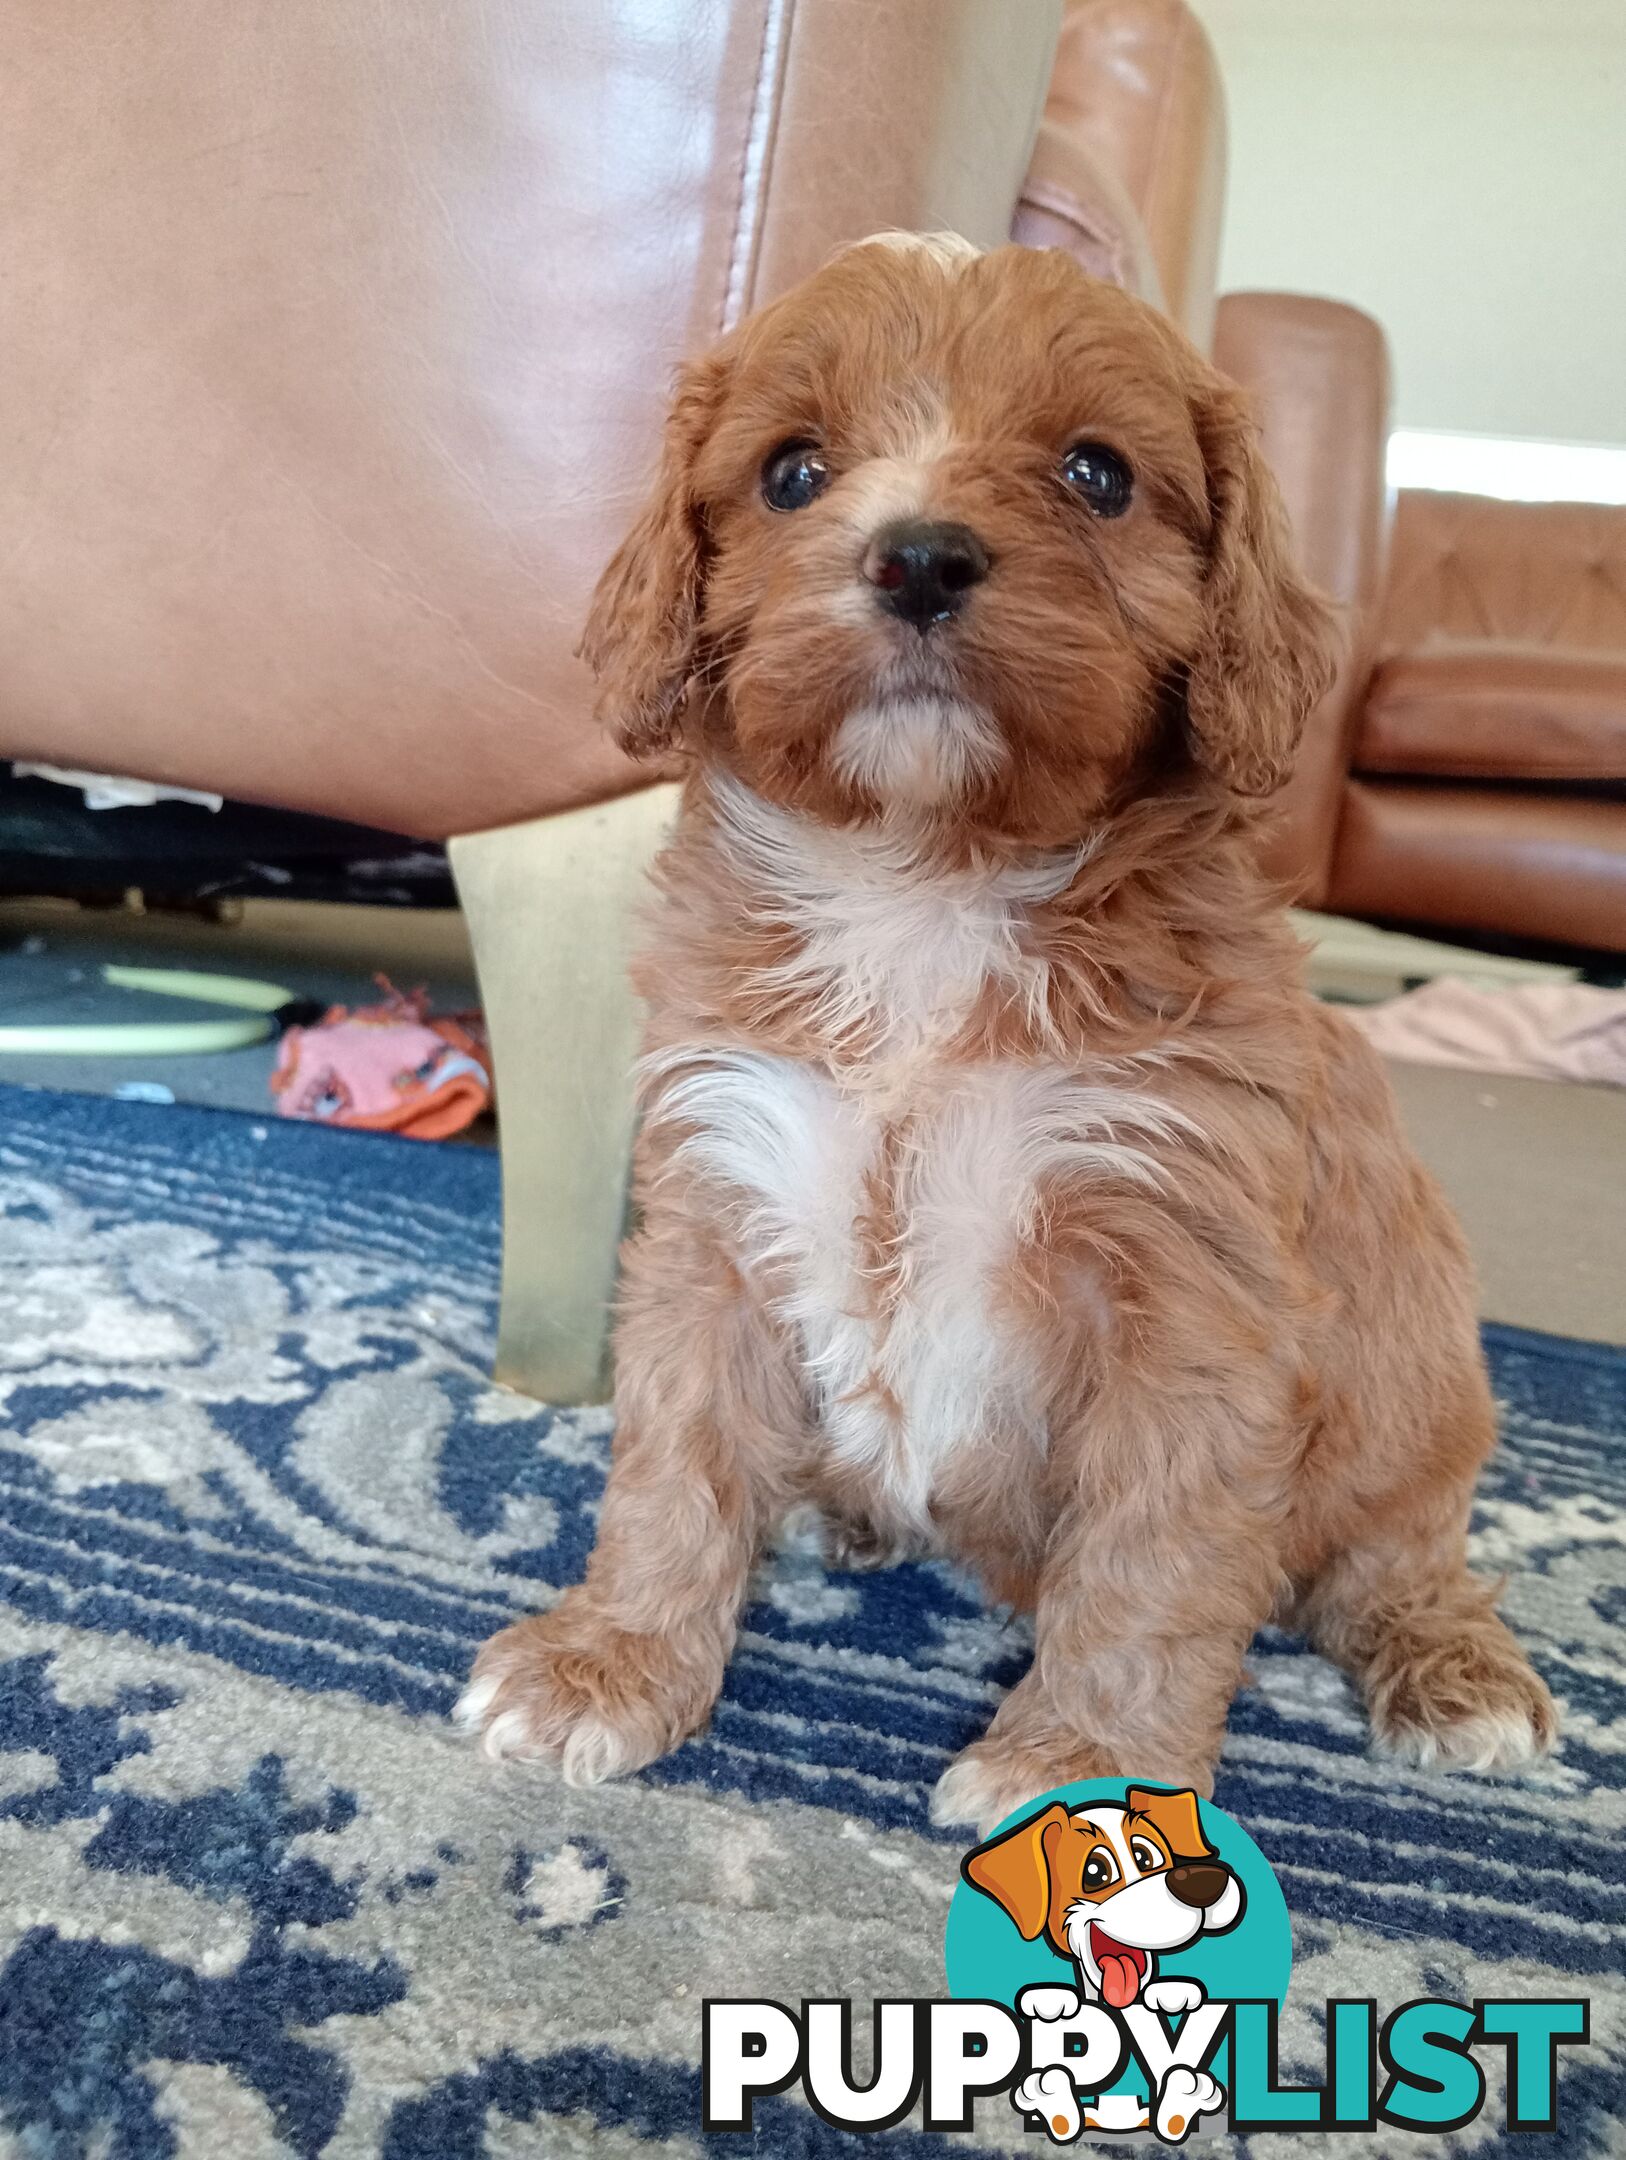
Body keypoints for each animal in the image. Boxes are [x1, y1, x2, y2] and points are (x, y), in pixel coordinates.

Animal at [453, 232, 1546, 1823]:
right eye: (791, 471)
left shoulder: (1190, 1282)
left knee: (1392, 1556)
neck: (925, 880)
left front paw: (1089, 1770)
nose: (917, 554)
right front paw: (612, 1660)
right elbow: (672, 1461)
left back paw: (1454, 1670)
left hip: (1420, 1398)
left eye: (1098, 474)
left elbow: (1151, 1555)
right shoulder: (716, 1205)